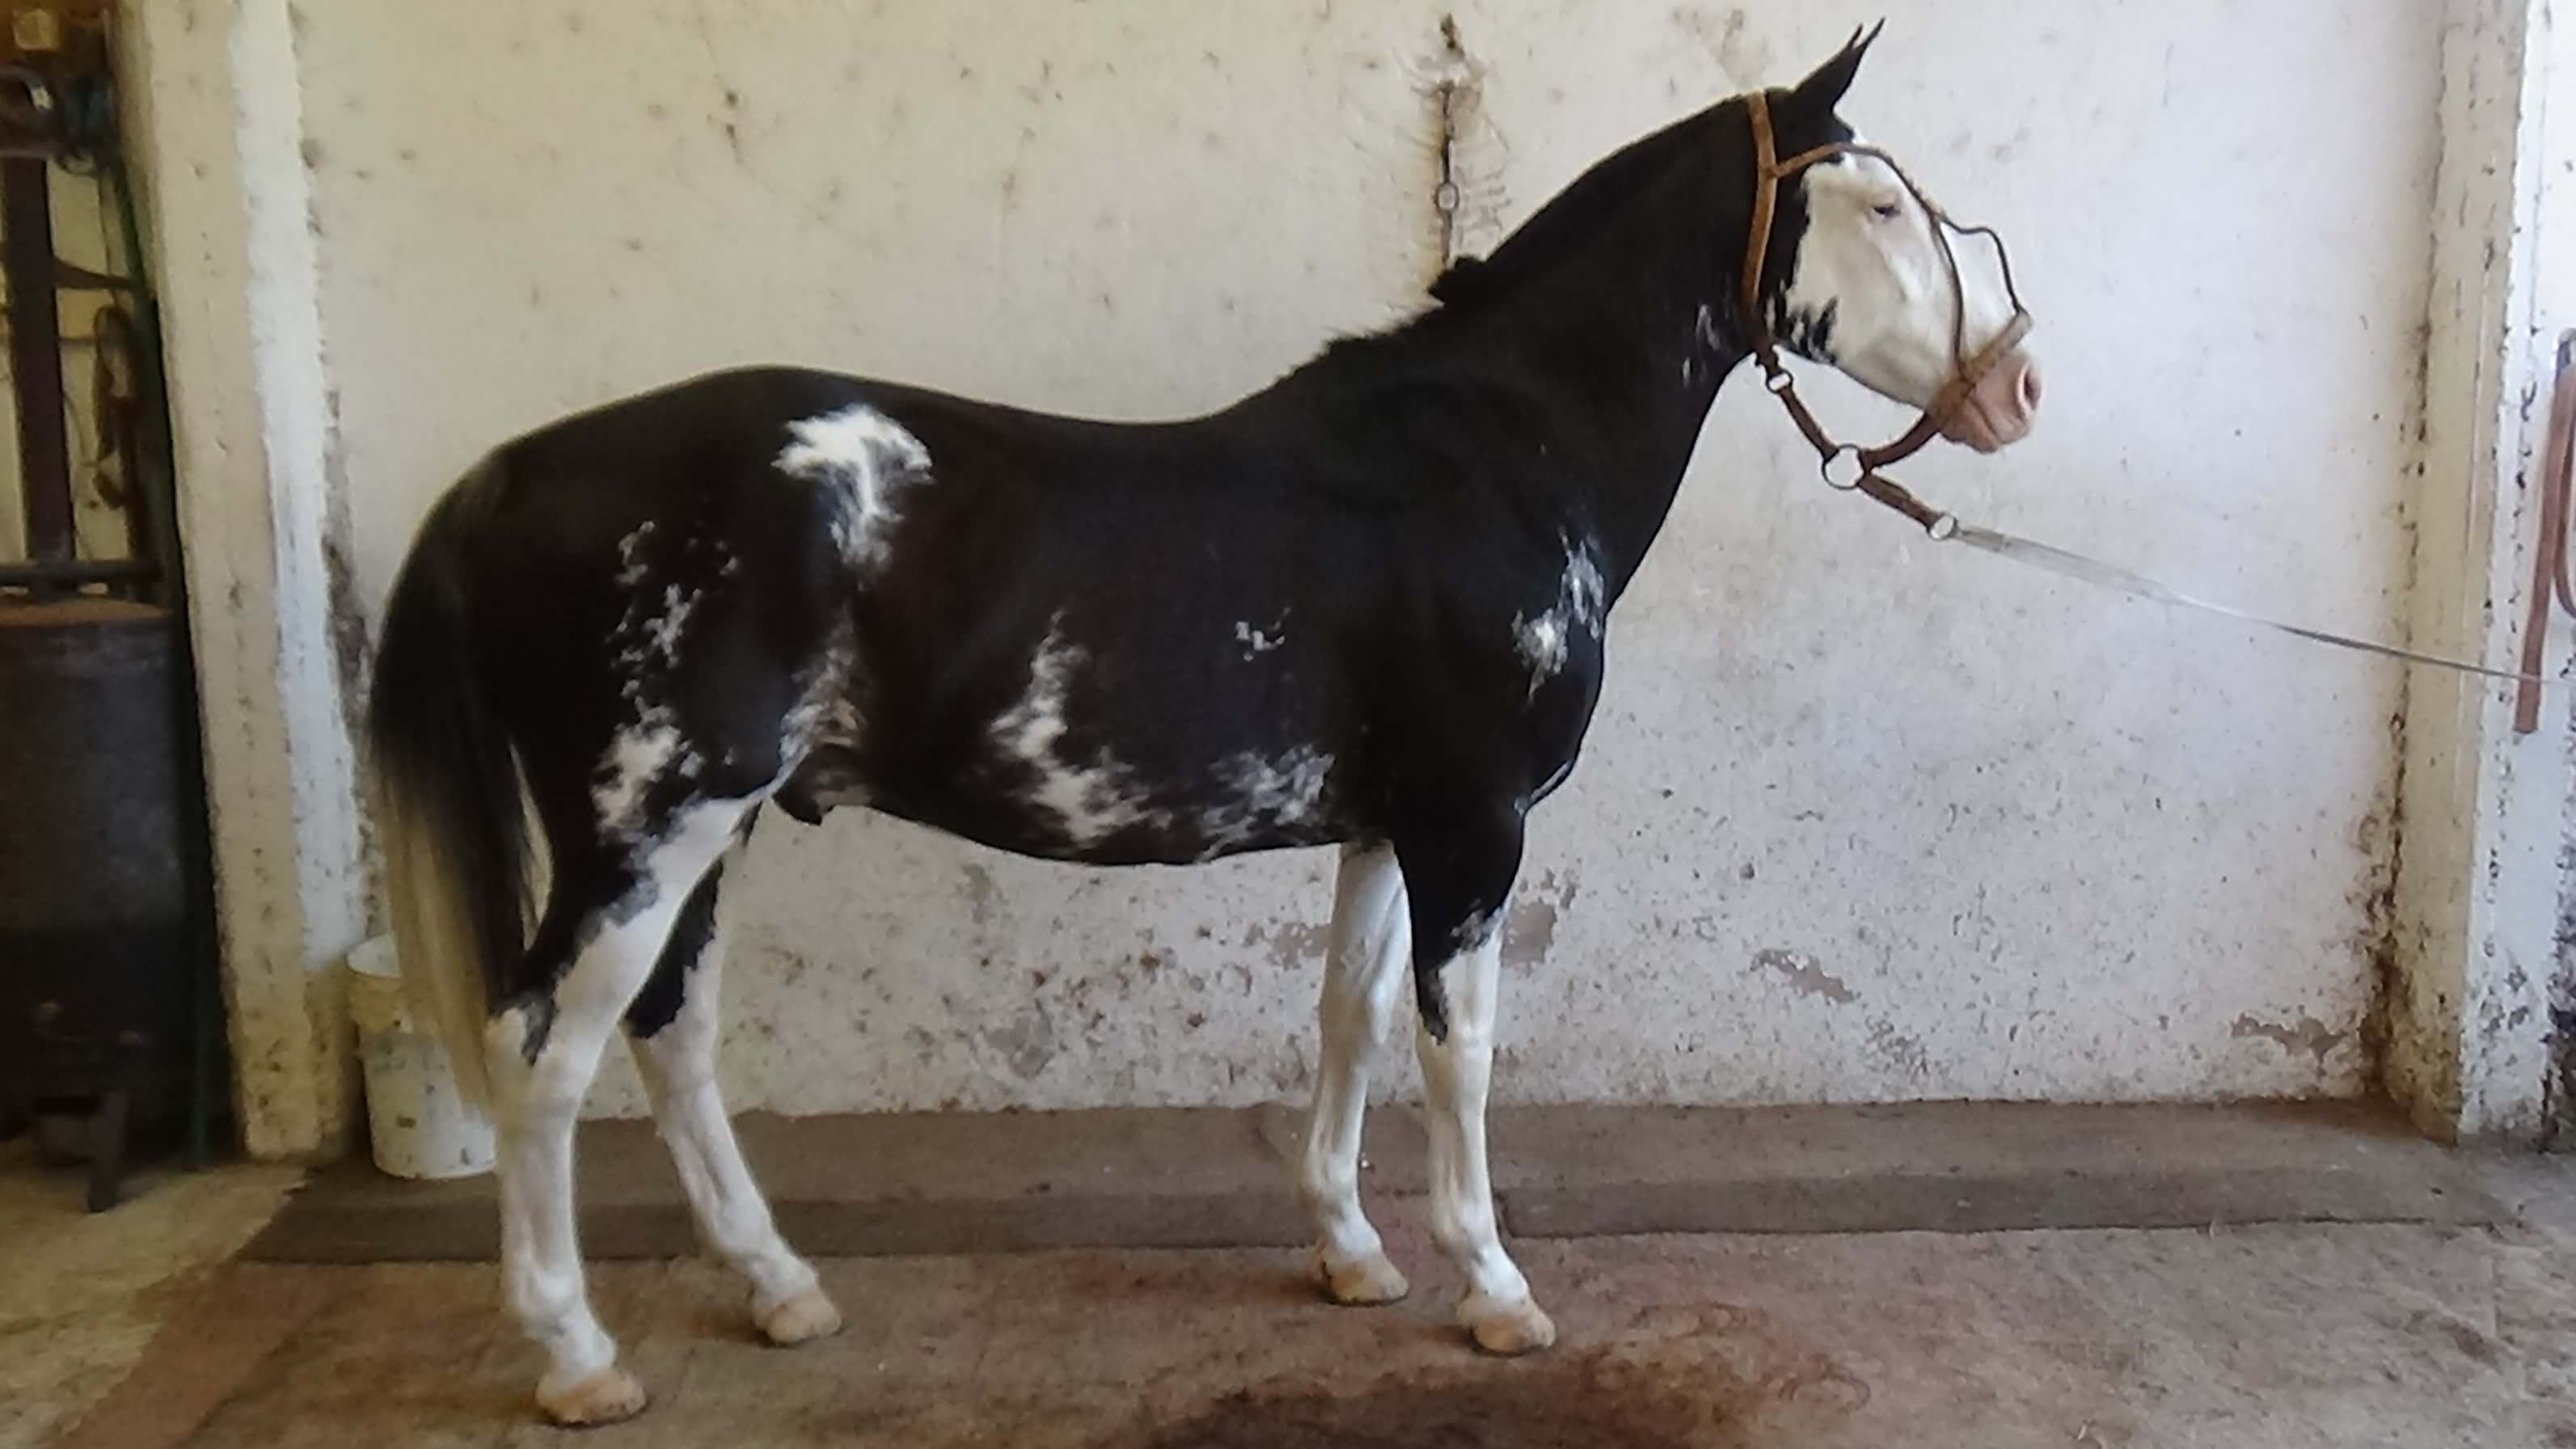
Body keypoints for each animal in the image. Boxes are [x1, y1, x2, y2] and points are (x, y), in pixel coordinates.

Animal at [366, 28, 2041, 1425]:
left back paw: (782, 1292)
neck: (1488, 457)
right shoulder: (1475, 827)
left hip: (696, 838)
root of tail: (508, 475)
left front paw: (1351, 1252)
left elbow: (1351, 1023)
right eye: (1880, 204)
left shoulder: (1385, 826)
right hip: (644, 831)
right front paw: (1494, 1291)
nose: (2015, 383)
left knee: (671, 1034)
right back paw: (580, 1359)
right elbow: (1460, 1053)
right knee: (541, 1055)